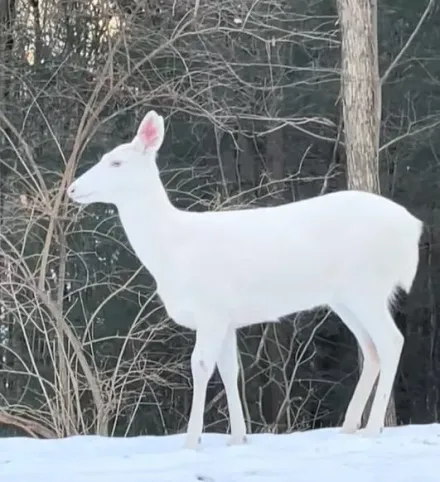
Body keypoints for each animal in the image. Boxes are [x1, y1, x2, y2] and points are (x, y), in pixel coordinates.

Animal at [68, 111, 422, 450]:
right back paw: (348, 427)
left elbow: (200, 366)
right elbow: (229, 370)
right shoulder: (226, 317)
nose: (72, 188)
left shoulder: (211, 309)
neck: (172, 252)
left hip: (366, 285)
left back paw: (372, 428)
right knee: (371, 348)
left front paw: (190, 442)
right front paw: (238, 438)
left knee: (391, 341)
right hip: (344, 297)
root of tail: (413, 228)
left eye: (116, 162)